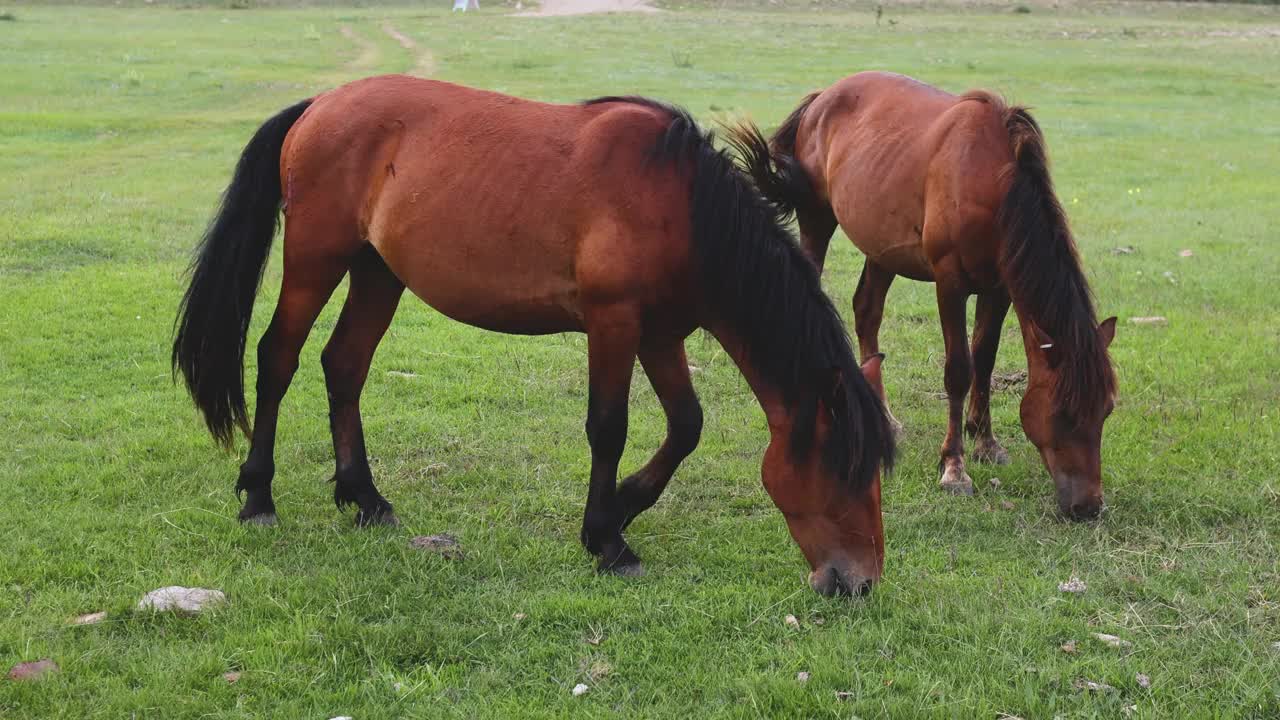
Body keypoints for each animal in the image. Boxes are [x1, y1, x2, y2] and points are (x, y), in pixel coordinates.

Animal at [170, 74, 896, 594]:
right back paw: (258, 495)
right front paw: (607, 541)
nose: (857, 583)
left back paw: (366, 498)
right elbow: (609, 428)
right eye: (843, 470)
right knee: (277, 358)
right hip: (315, 259)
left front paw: (624, 506)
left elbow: (686, 426)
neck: (682, 207)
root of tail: (321, 103)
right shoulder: (613, 322)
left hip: (378, 273)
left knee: (343, 364)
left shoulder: (661, 335)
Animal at [737, 73, 1116, 517]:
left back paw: (883, 414)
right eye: (1064, 414)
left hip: (880, 246)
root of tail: (821, 99)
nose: (1088, 506)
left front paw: (985, 442)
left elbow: (984, 360)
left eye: (1106, 410)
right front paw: (954, 467)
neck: (988, 179)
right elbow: (959, 370)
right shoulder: (949, 283)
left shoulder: (999, 288)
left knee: (867, 311)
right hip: (817, 219)